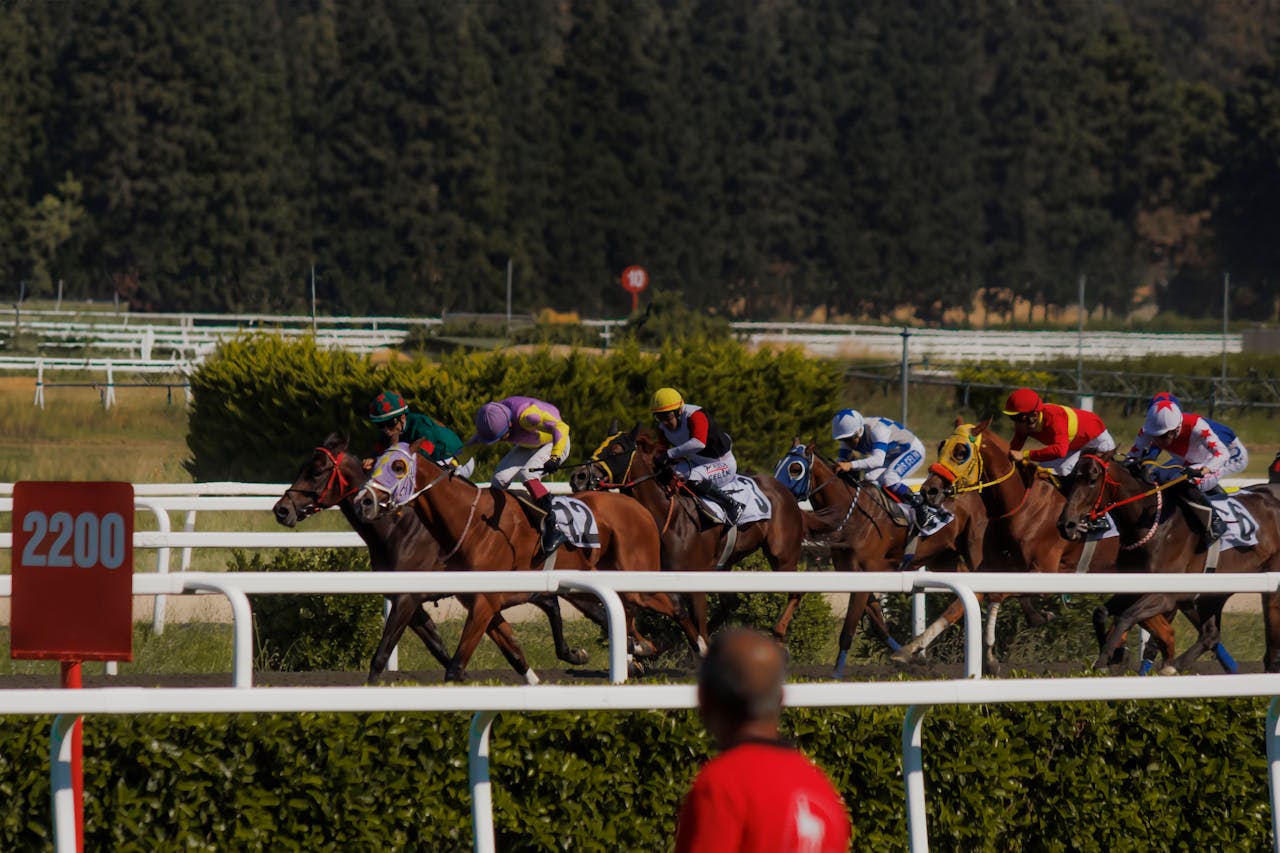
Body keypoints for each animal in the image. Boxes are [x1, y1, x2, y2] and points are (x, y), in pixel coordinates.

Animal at [272, 435, 591, 681]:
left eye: (316, 472)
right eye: (303, 468)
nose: (282, 509)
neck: (397, 530)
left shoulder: (407, 598)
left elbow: (381, 656)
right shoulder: (410, 603)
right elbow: (440, 649)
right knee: (548, 603)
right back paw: (571, 655)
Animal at [350, 438, 696, 676]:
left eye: (398, 467)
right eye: (373, 465)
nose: (363, 501)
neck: (472, 522)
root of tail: (637, 506)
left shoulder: (479, 601)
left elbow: (450, 664)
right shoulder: (481, 601)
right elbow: (512, 650)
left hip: (638, 578)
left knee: (673, 607)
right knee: (624, 614)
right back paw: (640, 649)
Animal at [576, 425, 803, 650]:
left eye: (616, 450)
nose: (579, 476)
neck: (668, 517)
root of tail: (783, 488)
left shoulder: (696, 583)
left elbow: (695, 623)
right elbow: (674, 615)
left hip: (783, 555)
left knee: (796, 591)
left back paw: (778, 633)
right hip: (725, 564)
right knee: (730, 603)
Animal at [768, 438, 988, 671]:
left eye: (795, 469)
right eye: (778, 464)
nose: (776, 493)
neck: (854, 515)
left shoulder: (865, 575)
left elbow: (848, 631)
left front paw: (837, 674)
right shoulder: (856, 573)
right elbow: (878, 624)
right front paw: (908, 656)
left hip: (973, 548)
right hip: (943, 558)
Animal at [1054, 450, 1280, 671]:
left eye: (1093, 479)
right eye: (1071, 478)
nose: (1066, 525)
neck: (1151, 524)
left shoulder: (1165, 593)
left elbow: (1126, 616)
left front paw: (1103, 661)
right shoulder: (1135, 587)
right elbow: (1100, 612)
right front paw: (1111, 655)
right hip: (1209, 594)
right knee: (1211, 634)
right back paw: (1173, 666)